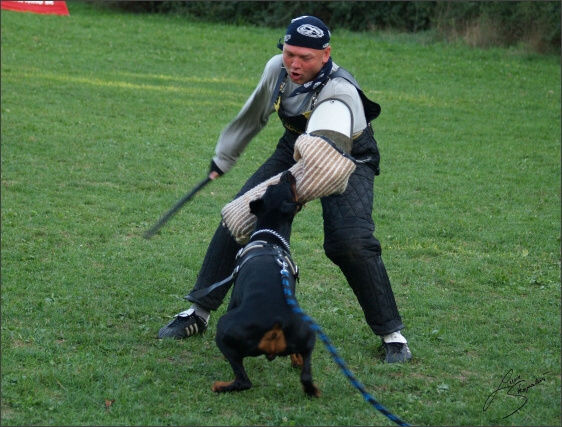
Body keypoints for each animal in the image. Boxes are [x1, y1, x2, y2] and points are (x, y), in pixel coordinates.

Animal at [211, 171, 320, 398]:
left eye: (274, 185)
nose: (288, 173)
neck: (270, 237)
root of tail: (276, 322)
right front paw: (295, 360)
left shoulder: (234, 299)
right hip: (309, 331)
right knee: (306, 375)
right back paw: (311, 387)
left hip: (224, 329)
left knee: (243, 381)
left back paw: (220, 386)